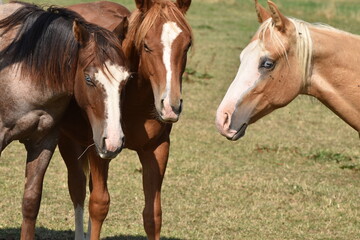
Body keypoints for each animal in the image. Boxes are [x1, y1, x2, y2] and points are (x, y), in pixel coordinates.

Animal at [60, 0, 193, 239]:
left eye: (186, 45)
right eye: (146, 46)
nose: (171, 106)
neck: (133, 101)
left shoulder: (157, 149)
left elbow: (153, 214)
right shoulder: (99, 147)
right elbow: (99, 205)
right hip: (68, 141)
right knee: (78, 188)